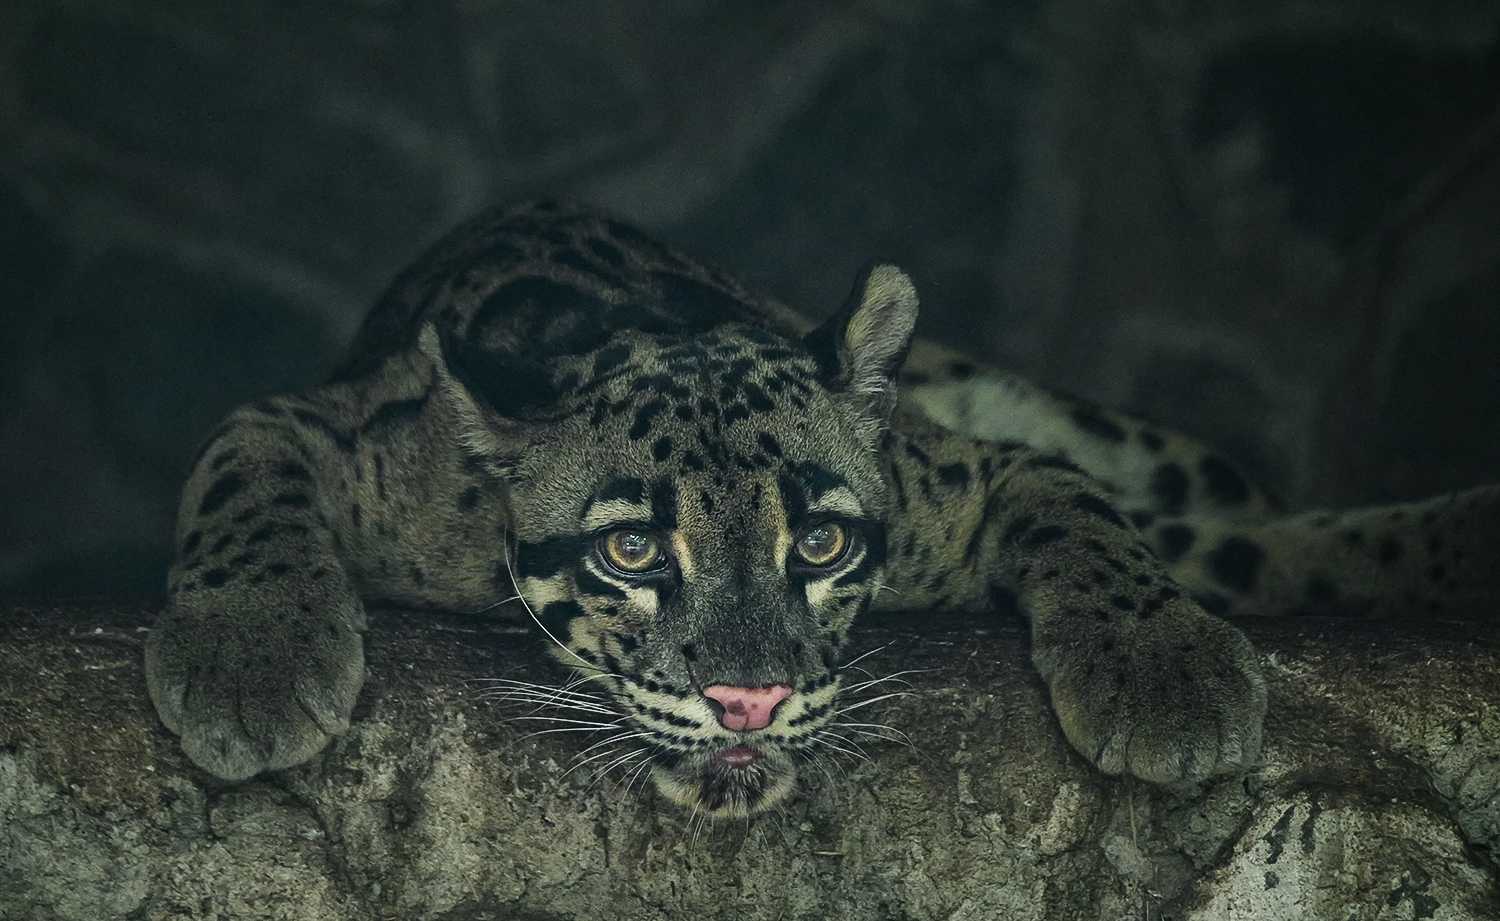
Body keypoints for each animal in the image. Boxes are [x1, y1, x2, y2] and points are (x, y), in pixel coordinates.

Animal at [145, 199, 1500, 817]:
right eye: (631, 550)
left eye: (824, 541)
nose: (749, 700)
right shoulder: (319, 424)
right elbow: (242, 486)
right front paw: (249, 661)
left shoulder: (974, 468)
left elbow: (1086, 523)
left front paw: (1159, 671)